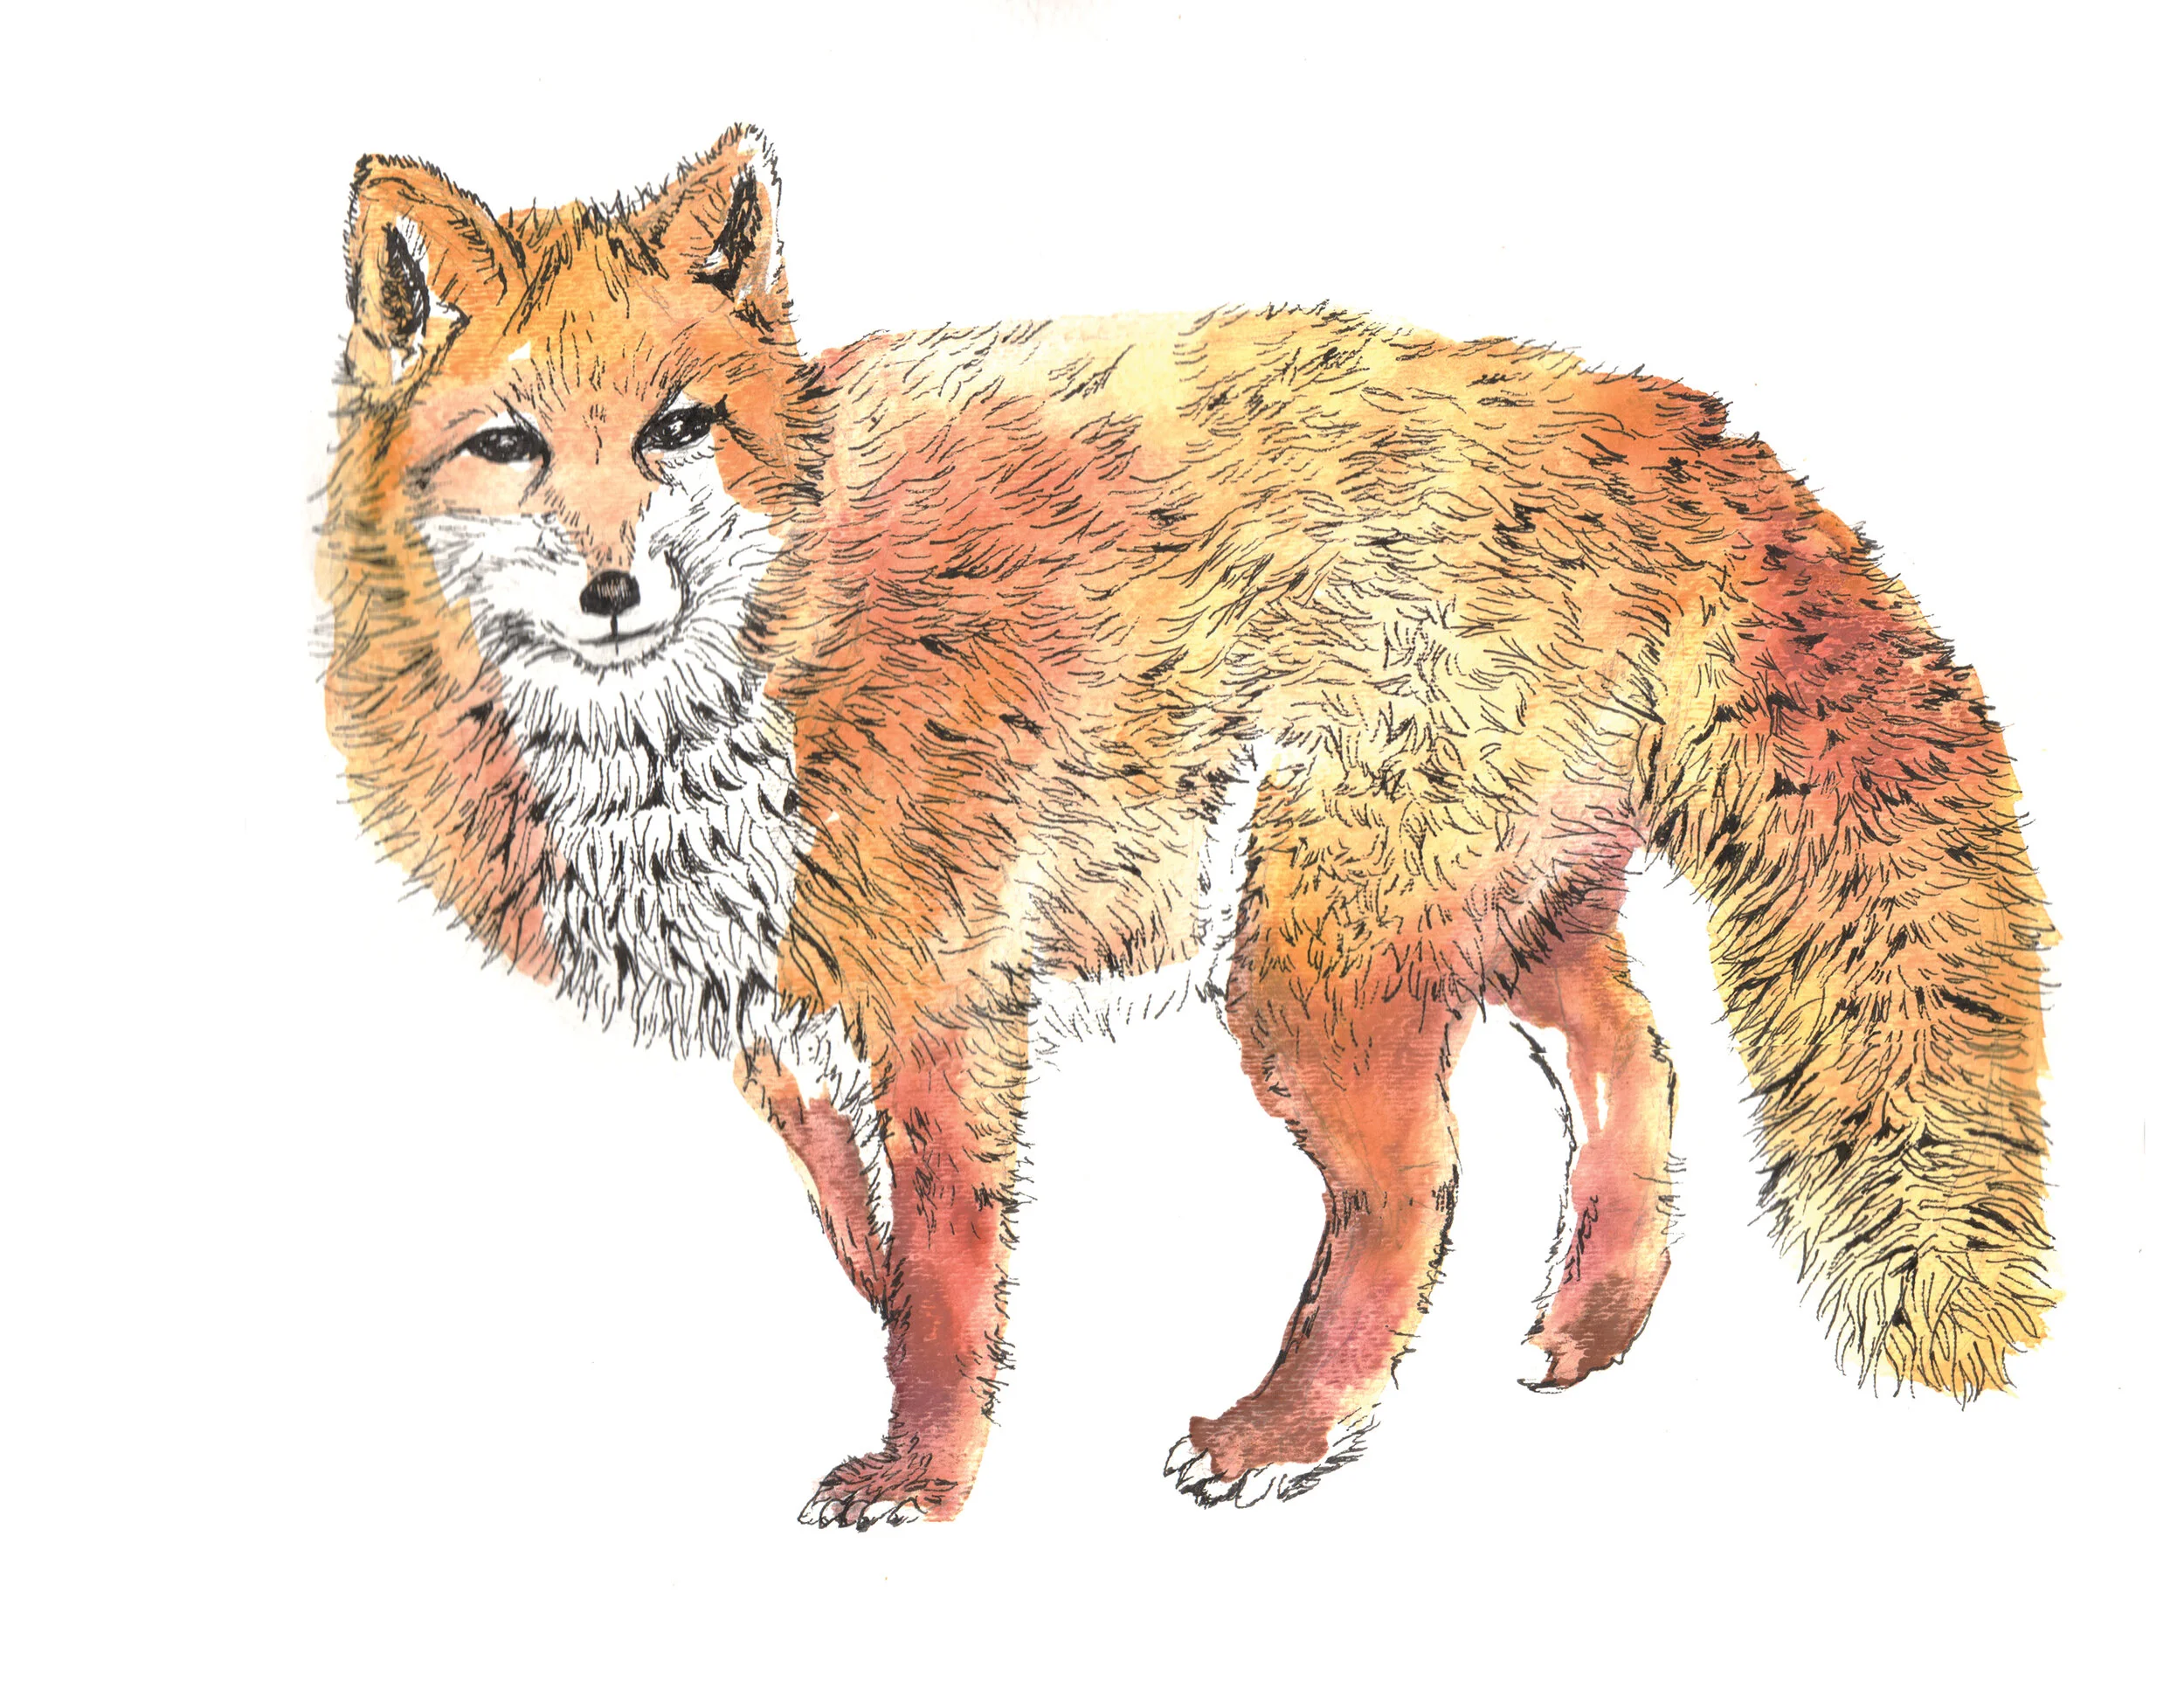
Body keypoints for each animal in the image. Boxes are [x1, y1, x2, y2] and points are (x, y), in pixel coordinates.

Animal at [317, 126, 2054, 1528]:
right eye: (510, 447)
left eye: (677, 429)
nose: (616, 590)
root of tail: (1632, 406)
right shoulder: (783, 1024)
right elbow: (875, 1245)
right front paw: (922, 1372)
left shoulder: (945, 1000)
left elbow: (946, 1274)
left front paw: (930, 1478)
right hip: (1486, 917)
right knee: (1637, 1059)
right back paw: (1589, 1329)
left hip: (1307, 972)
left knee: (1419, 1183)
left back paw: (1287, 1430)